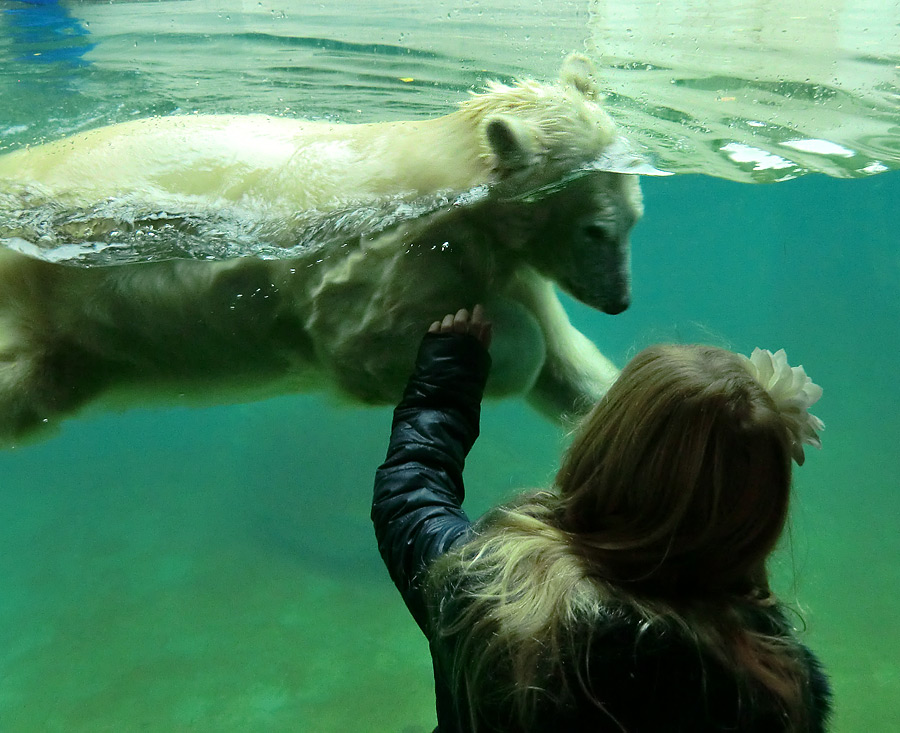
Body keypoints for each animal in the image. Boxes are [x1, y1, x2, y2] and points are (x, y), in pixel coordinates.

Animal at [0, 54, 640, 444]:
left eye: (634, 218)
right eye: (595, 230)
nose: (619, 301)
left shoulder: (501, 262)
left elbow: (569, 363)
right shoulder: (393, 256)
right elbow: (362, 341)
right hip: (47, 294)